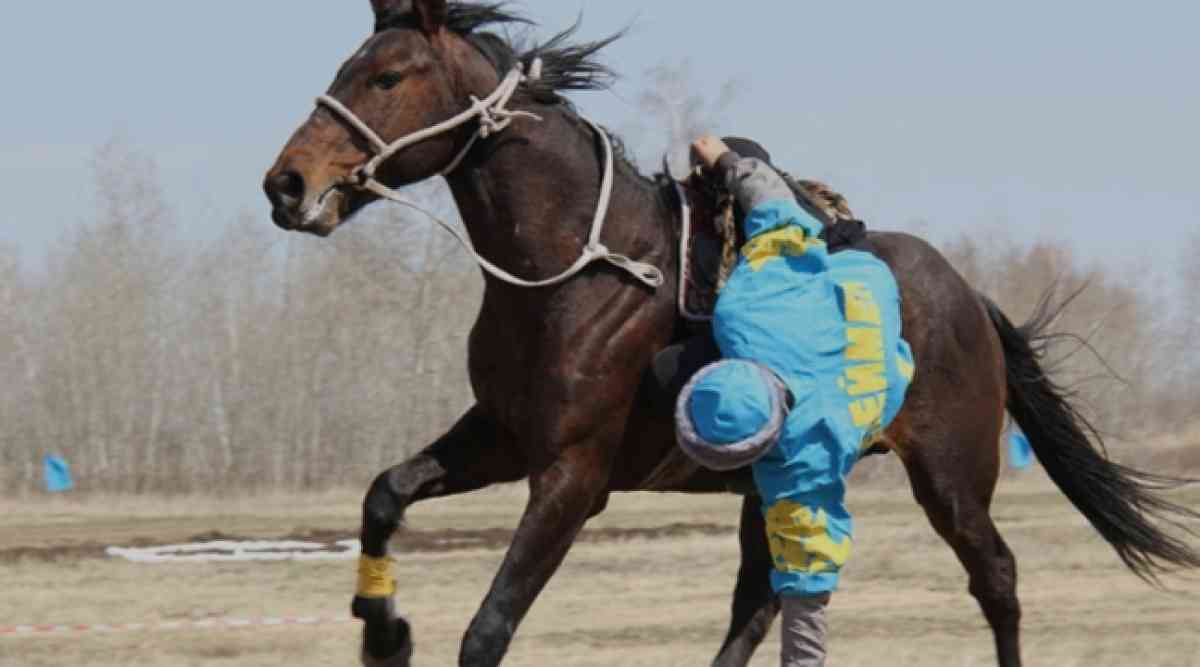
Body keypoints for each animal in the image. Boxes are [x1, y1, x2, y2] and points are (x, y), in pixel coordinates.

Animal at [265, 2, 1200, 662]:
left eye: (388, 76)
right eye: (348, 68)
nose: (287, 183)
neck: (584, 267)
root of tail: (968, 294)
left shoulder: (572, 475)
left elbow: (488, 628)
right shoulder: (501, 435)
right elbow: (385, 492)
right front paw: (381, 628)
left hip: (951, 476)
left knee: (995, 578)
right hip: (780, 479)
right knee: (761, 602)